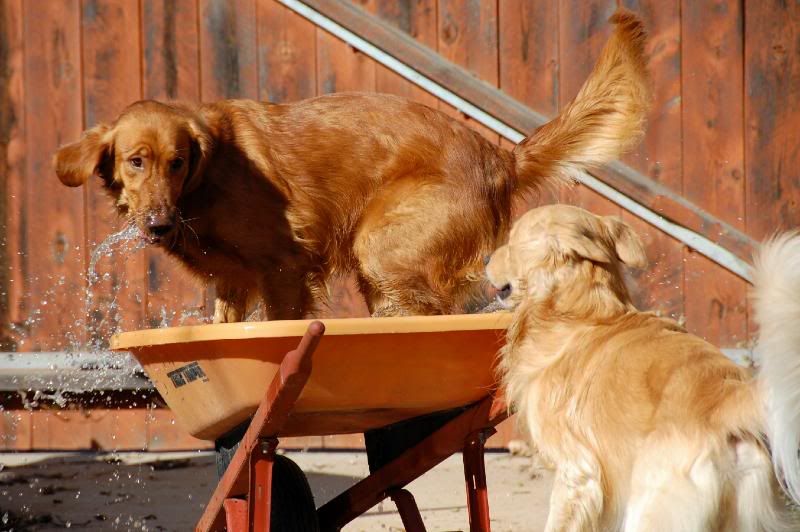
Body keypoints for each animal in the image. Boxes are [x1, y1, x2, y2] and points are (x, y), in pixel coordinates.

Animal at [54, 11, 649, 322]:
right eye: (136, 162)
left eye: (177, 162)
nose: (157, 225)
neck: (207, 181)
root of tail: (499, 154)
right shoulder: (232, 281)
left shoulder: (283, 268)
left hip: (382, 249)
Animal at [486, 204, 800, 531]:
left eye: (512, 239)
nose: (484, 259)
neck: (577, 311)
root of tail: (722, 398)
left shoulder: (577, 472)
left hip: (650, 509)